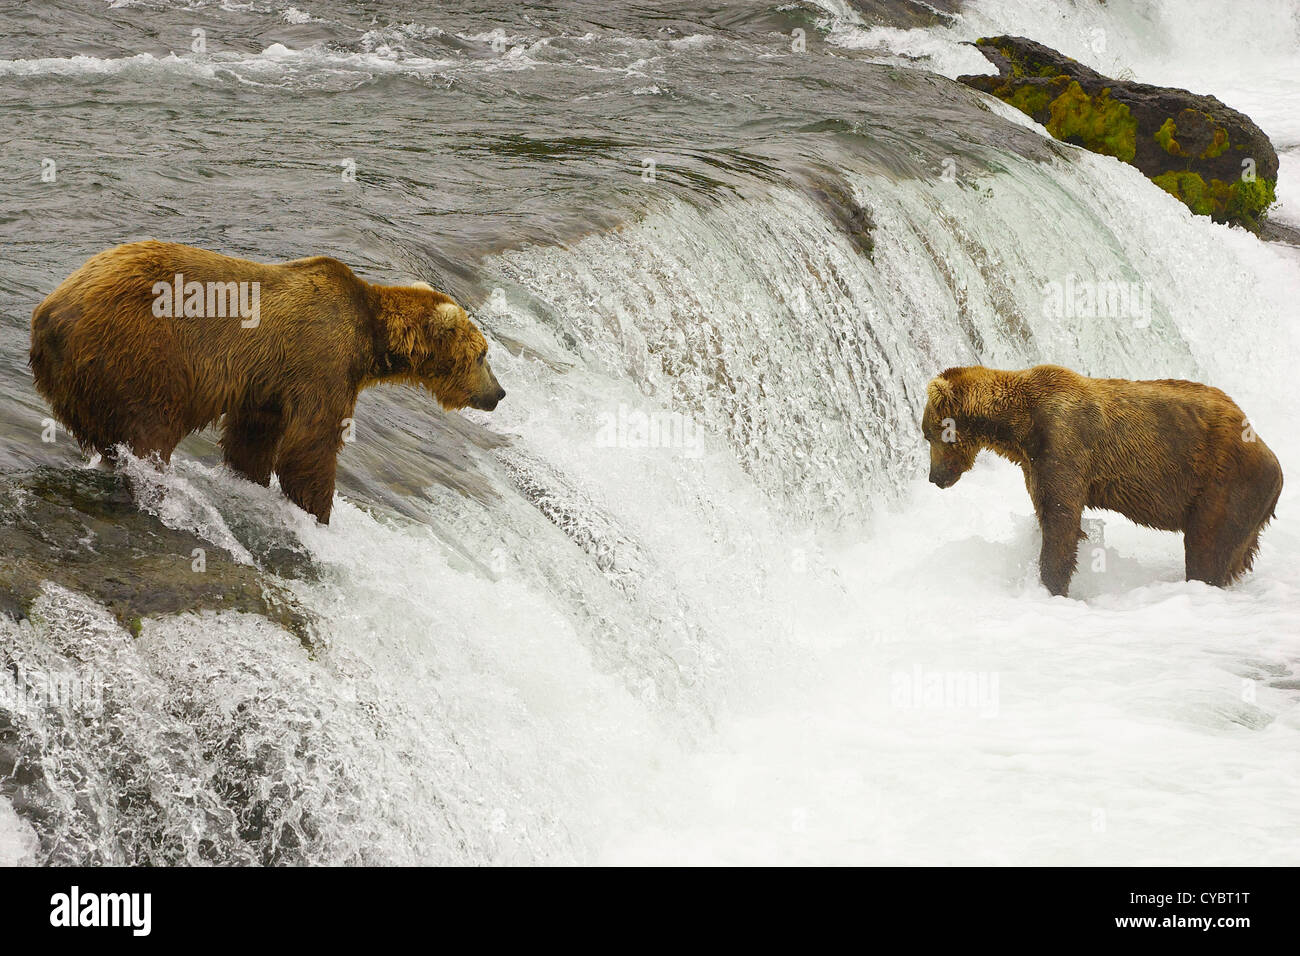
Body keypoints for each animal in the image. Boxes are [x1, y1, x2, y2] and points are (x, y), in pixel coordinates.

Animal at [29, 239, 506, 522]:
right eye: (483, 354)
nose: (499, 393)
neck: (371, 338)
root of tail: (51, 311)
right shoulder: (321, 360)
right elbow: (310, 445)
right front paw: (317, 511)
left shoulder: (267, 384)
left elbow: (254, 439)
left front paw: (250, 479)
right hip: (139, 353)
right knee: (150, 429)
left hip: (75, 380)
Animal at [925, 366, 1279, 598]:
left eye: (927, 433)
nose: (934, 477)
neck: (1018, 426)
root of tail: (1271, 455)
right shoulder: (1034, 462)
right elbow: (1047, 512)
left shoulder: (1062, 445)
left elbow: (1061, 520)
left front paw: (1052, 585)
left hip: (1226, 484)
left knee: (1206, 546)